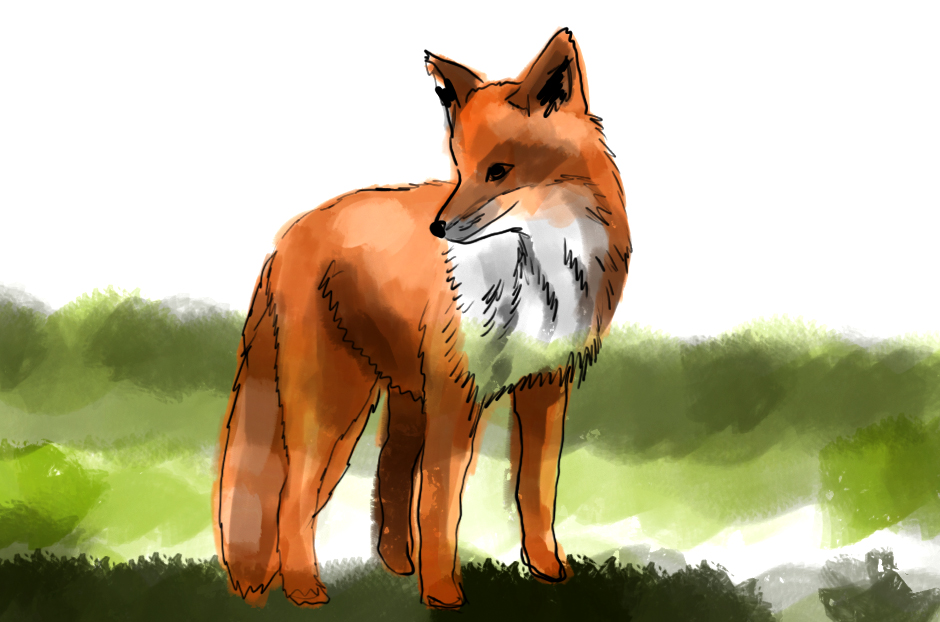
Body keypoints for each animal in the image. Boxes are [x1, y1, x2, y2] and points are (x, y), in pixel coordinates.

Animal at [214, 27, 631, 610]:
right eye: (459, 167)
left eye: (498, 171)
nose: (439, 228)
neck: (534, 275)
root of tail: (287, 238)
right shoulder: (458, 395)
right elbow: (440, 504)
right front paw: (442, 594)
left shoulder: (546, 387)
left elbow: (535, 490)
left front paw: (548, 571)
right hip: (336, 403)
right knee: (293, 496)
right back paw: (303, 588)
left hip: (402, 399)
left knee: (386, 475)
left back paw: (394, 567)